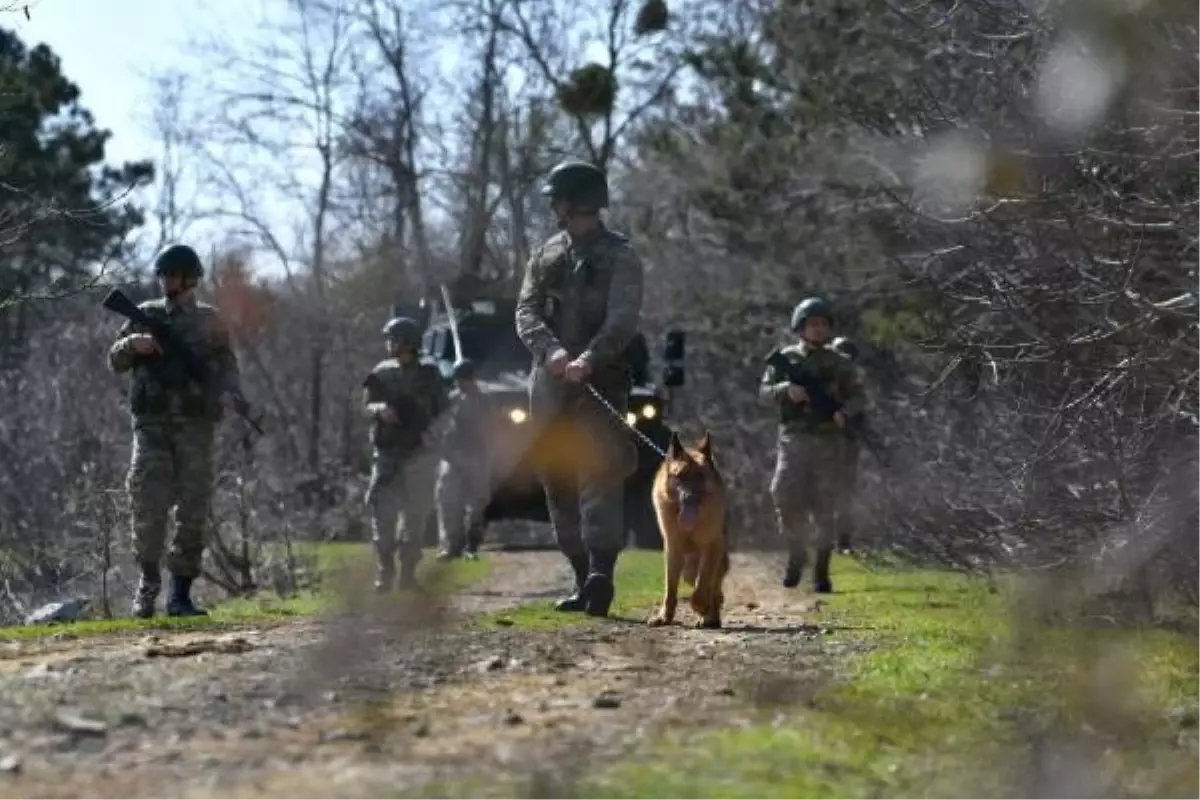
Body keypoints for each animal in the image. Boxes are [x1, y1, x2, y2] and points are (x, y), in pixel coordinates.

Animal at [648, 429, 729, 628]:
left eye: (700, 476)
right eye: (680, 476)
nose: (690, 497)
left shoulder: (711, 546)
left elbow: (703, 584)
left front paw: (700, 606)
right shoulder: (672, 548)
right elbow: (670, 589)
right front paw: (665, 617)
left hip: (712, 560)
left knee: (714, 588)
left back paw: (710, 617)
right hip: (688, 570)